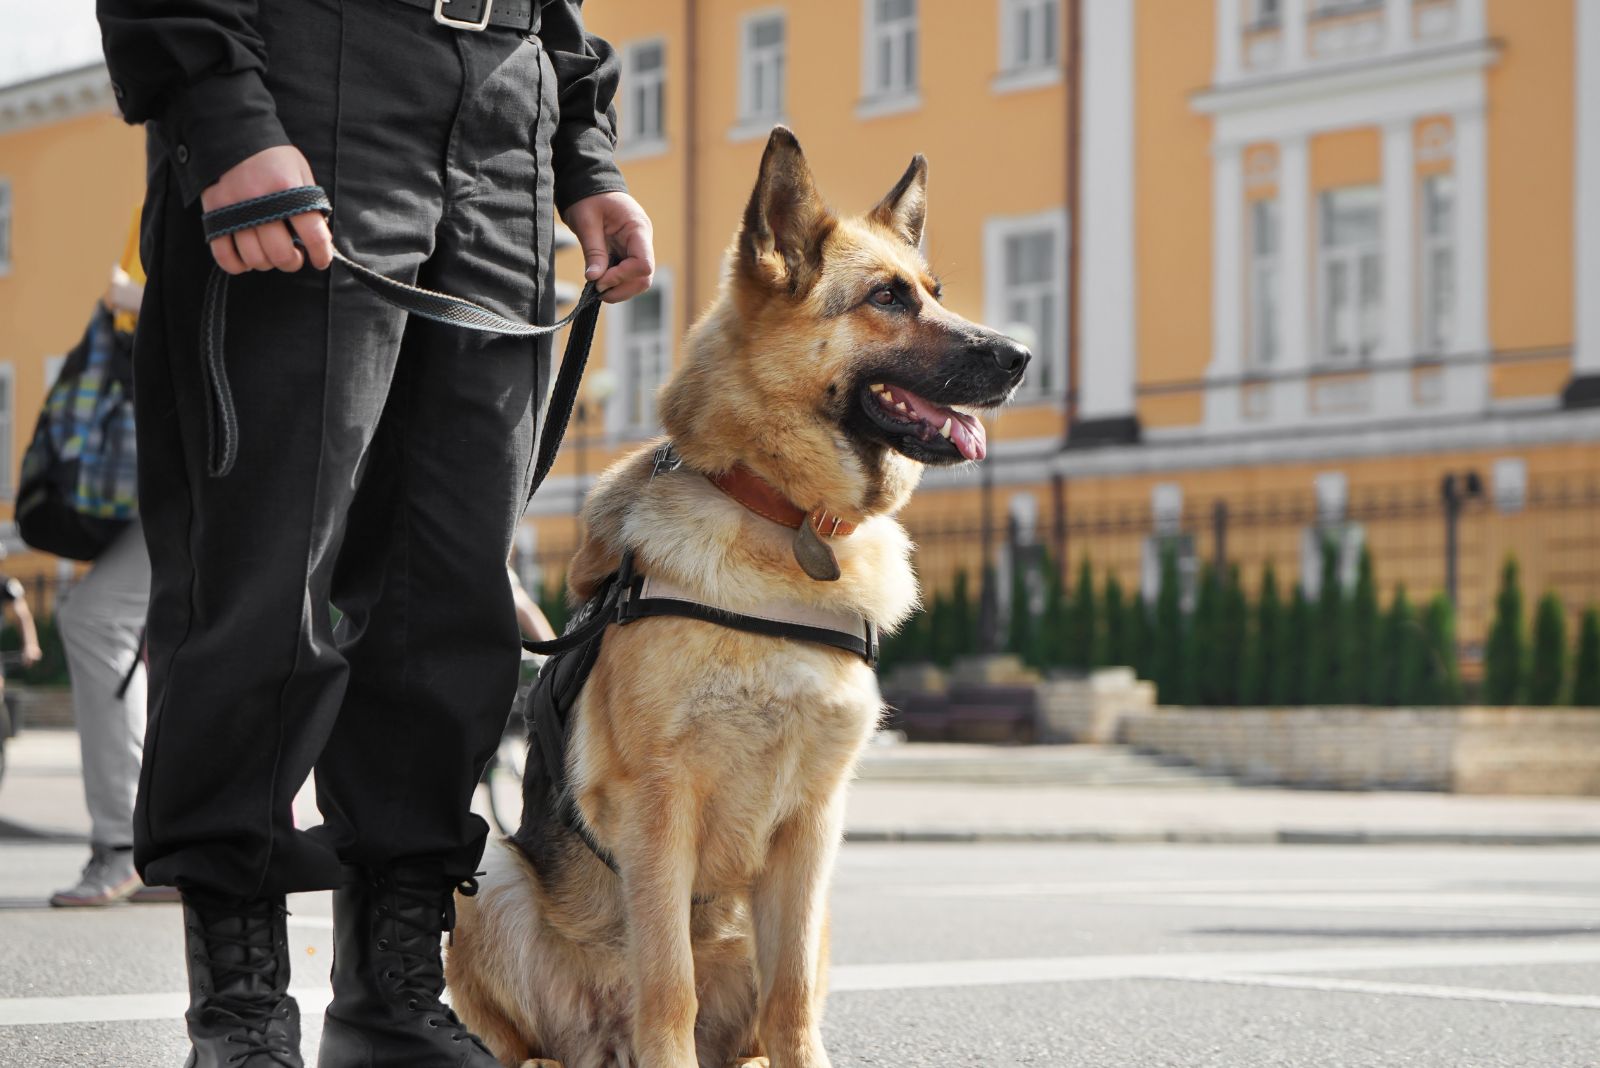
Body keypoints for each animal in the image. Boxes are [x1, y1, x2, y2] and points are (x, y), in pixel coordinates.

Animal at [444, 131, 1030, 1068]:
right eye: (887, 299)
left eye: (933, 293)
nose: (1022, 358)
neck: (785, 519)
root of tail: (598, 1047)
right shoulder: (659, 808)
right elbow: (667, 986)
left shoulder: (813, 827)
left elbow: (790, 1001)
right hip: (489, 875)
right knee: (528, 1029)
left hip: (813, 921)